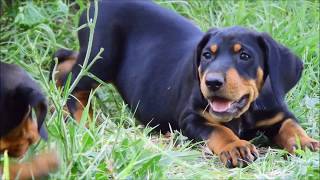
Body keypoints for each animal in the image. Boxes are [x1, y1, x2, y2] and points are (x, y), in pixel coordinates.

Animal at [53, 0, 320, 168]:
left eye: (244, 55)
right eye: (207, 55)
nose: (212, 82)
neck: (245, 113)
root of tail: (95, 5)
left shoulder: (278, 115)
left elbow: (291, 126)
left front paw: (306, 143)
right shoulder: (191, 117)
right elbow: (219, 130)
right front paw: (236, 147)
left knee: (65, 61)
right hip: (101, 58)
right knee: (74, 84)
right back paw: (83, 121)